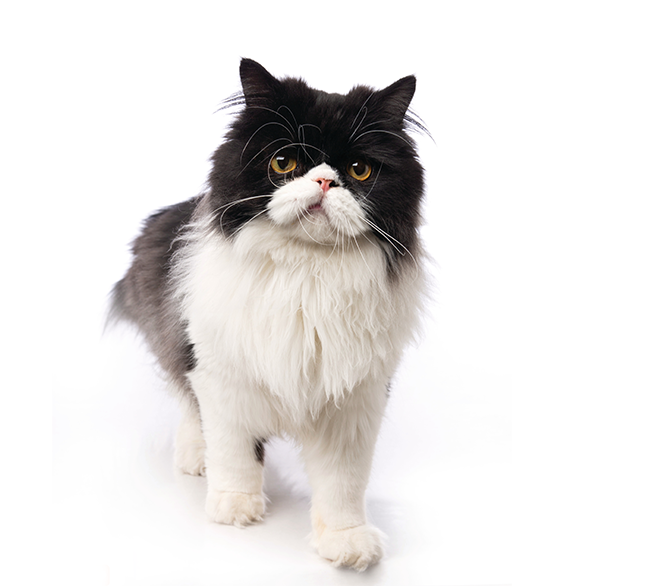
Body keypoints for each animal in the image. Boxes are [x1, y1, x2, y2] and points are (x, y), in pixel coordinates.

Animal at [109, 59, 428, 572]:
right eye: (284, 163)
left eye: (358, 170)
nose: (324, 181)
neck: (307, 273)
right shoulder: (222, 375)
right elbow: (234, 449)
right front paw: (234, 507)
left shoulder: (355, 399)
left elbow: (343, 482)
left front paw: (347, 542)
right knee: (188, 403)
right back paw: (196, 457)